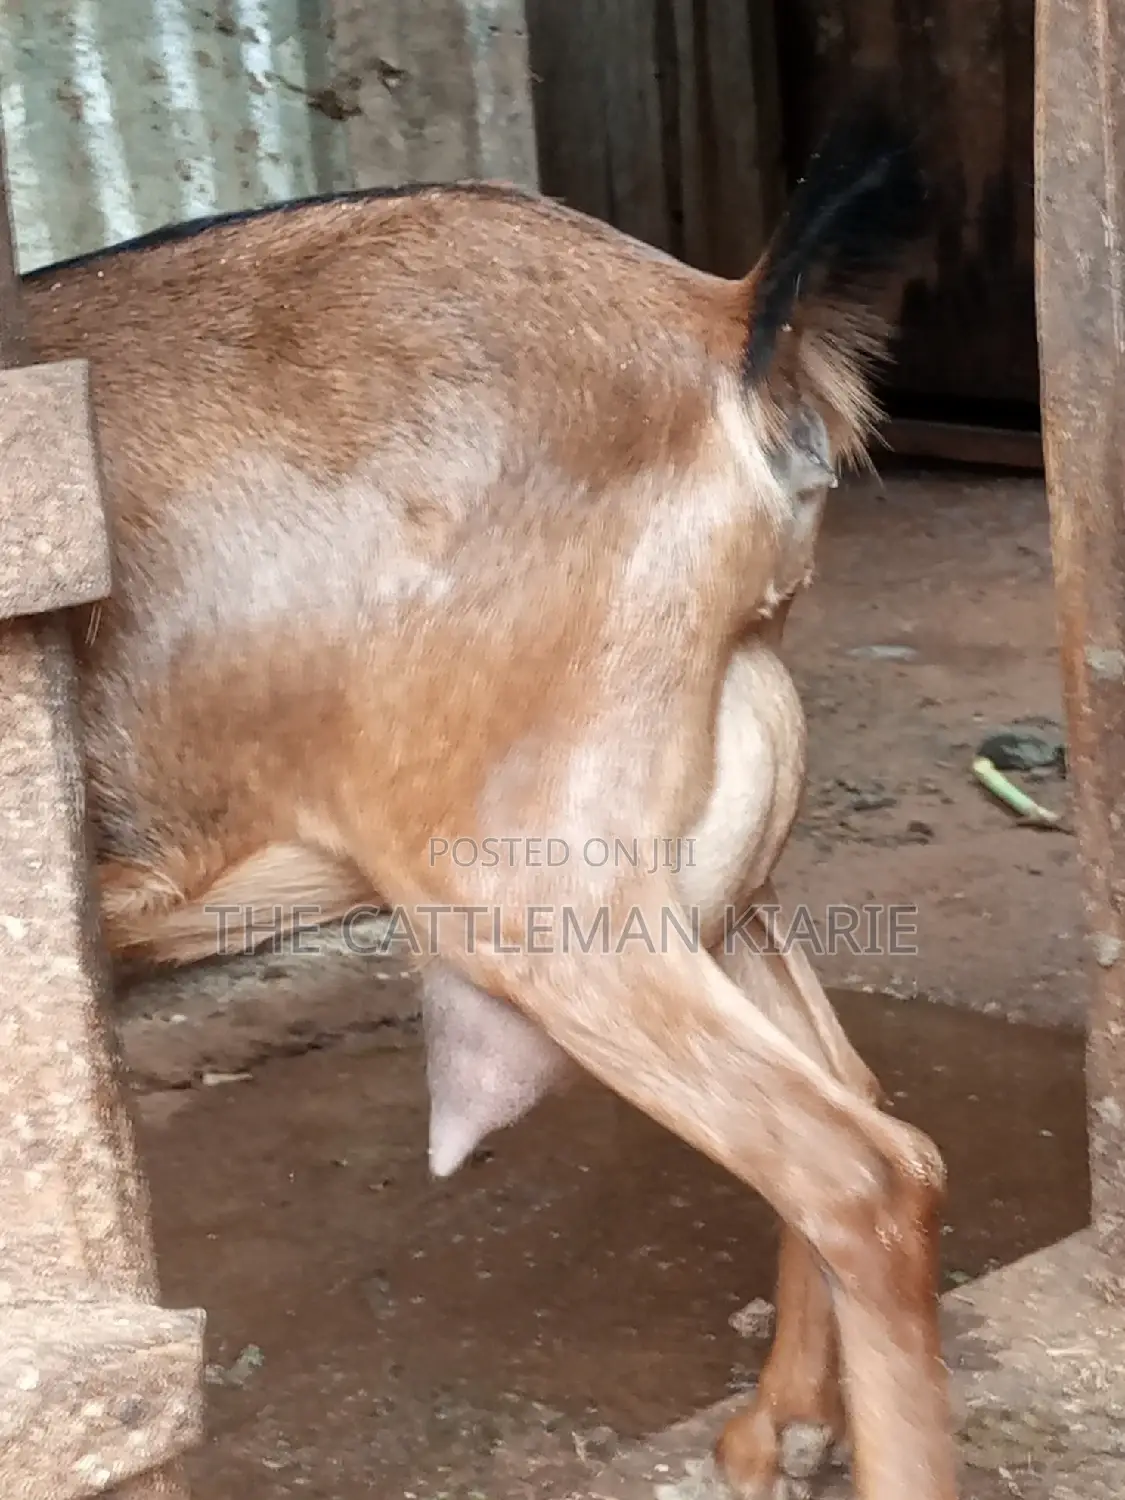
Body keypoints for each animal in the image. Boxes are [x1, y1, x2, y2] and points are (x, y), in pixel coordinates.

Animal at [24, 91, 956, 1499]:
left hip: (539, 889)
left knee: (859, 1173)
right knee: (855, 1092)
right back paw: (776, 1421)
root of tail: (721, 328)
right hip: (707, 858)